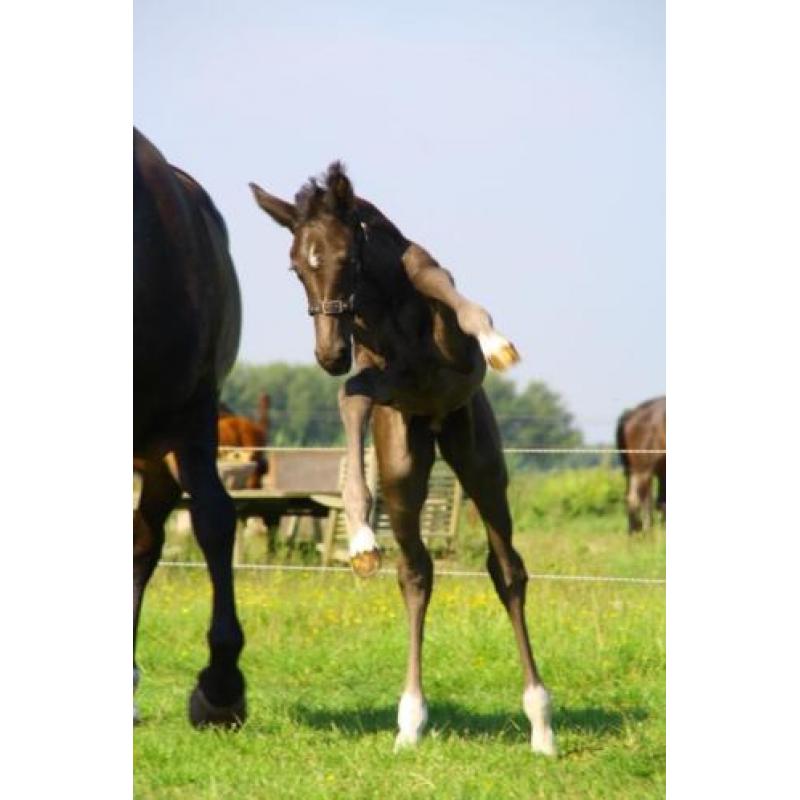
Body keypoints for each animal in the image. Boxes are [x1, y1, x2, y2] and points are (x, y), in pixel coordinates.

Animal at [249, 162, 556, 756]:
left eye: (347, 258)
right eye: (296, 267)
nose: (328, 353)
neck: (381, 303)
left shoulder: (441, 333)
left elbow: (450, 292)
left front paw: (497, 343)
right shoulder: (387, 381)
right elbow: (350, 396)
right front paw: (361, 538)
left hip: (481, 463)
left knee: (507, 570)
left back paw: (541, 723)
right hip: (404, 470)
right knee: (416, 574)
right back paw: (410, 720)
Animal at [616, 396, 666, 532]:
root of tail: (631, 414)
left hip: (634, 470)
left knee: (632, 499)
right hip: (644, 469)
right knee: (644, 500)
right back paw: (647, 531)